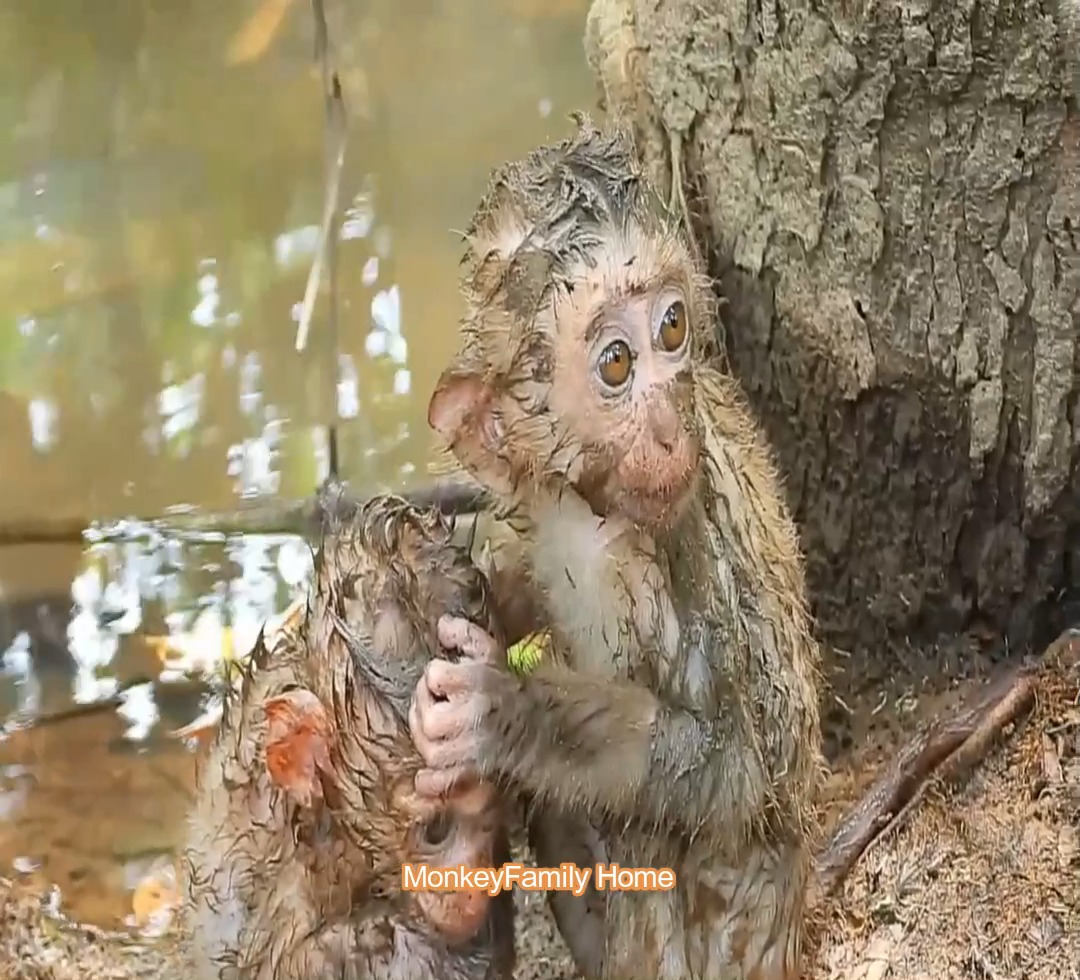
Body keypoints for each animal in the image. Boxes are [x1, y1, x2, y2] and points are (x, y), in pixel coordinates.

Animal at [409, 120, 823, 980]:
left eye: (672, 328)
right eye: (617, 363)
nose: (668, 422)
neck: (589, 515)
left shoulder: (669, 550)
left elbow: (740, 774)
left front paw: (509, 712)